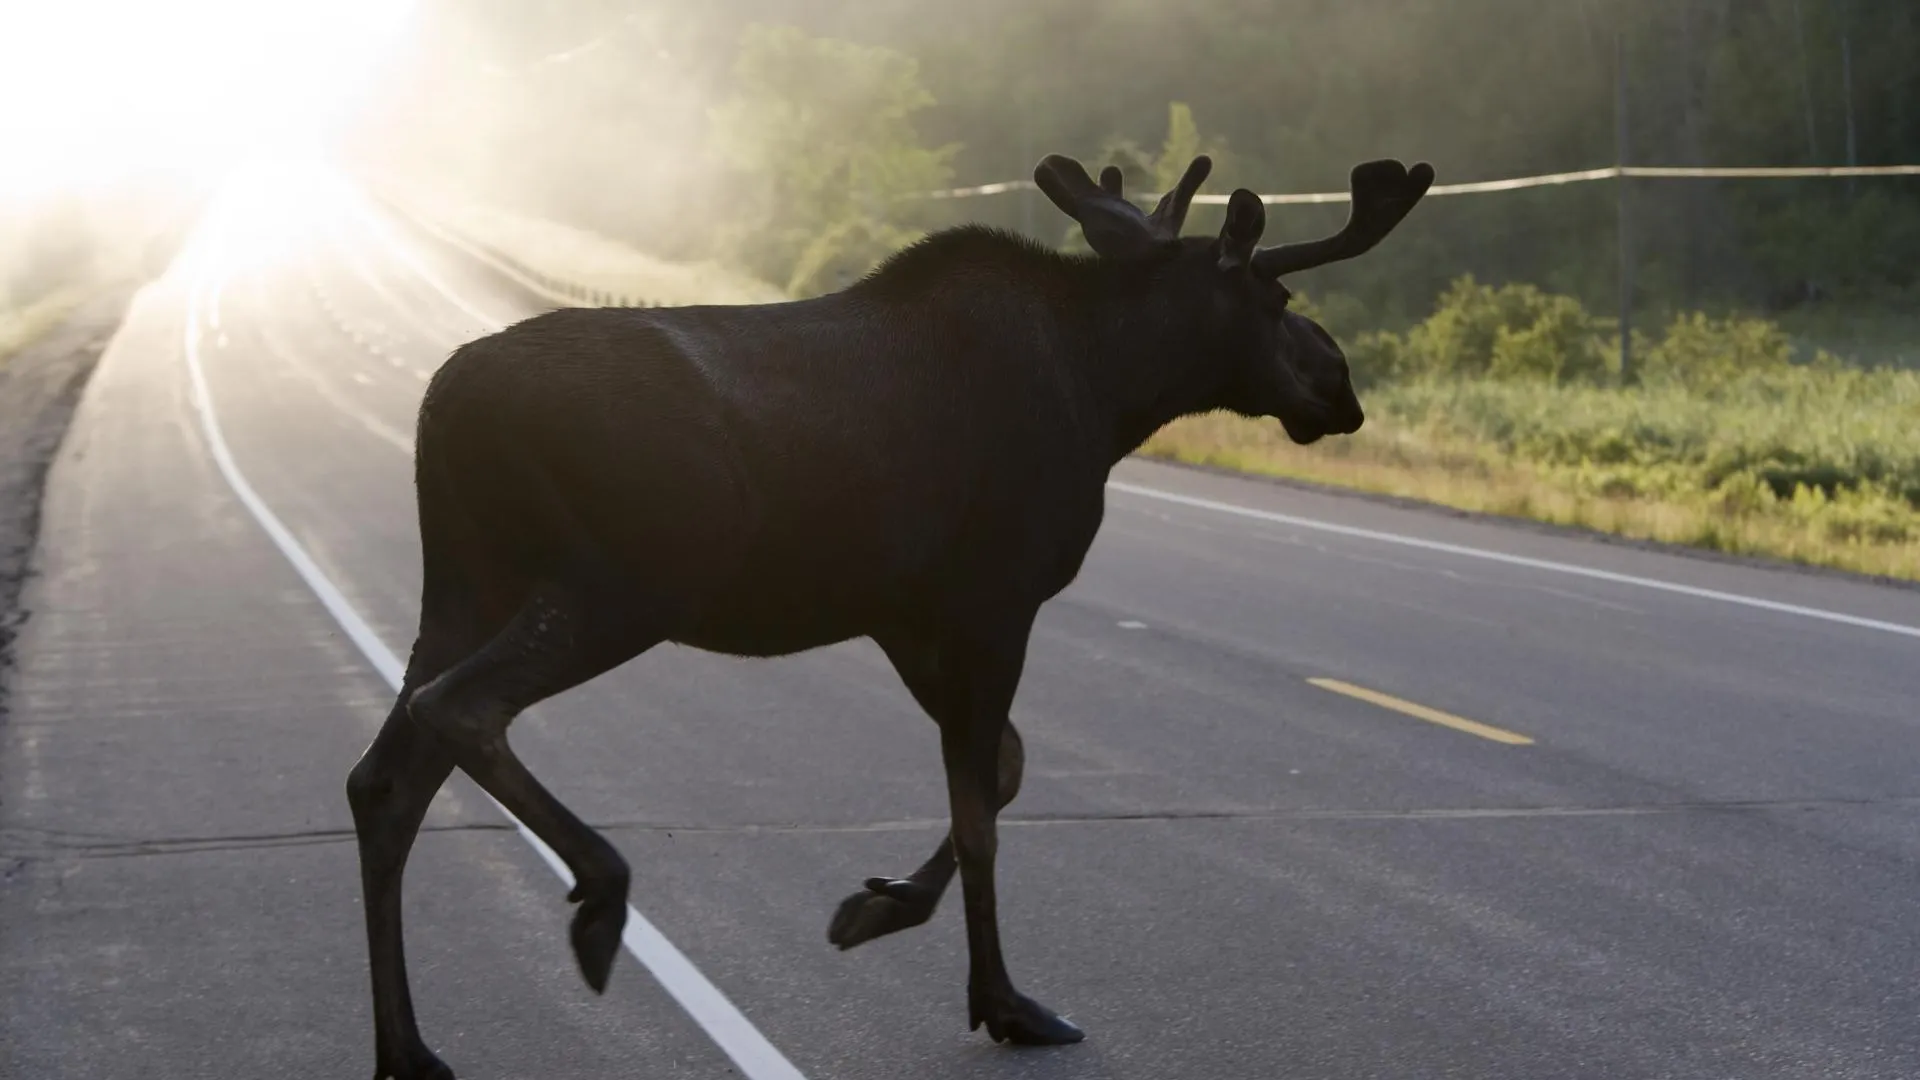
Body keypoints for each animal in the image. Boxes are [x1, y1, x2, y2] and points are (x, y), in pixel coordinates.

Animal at [341, 147, 1428, 1068]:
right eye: (1277, 294)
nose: (1340, 385)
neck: (1112, 392)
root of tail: (442, 407)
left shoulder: (905, 612)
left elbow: (1003, 770)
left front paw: (882, 904)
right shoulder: (994, 596)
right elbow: (983, 807)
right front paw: (1004, 1002)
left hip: (468, 584)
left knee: (384, 779)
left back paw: (408, 1049)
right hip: (619, 583)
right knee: (459, 708)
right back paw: (600, 899)